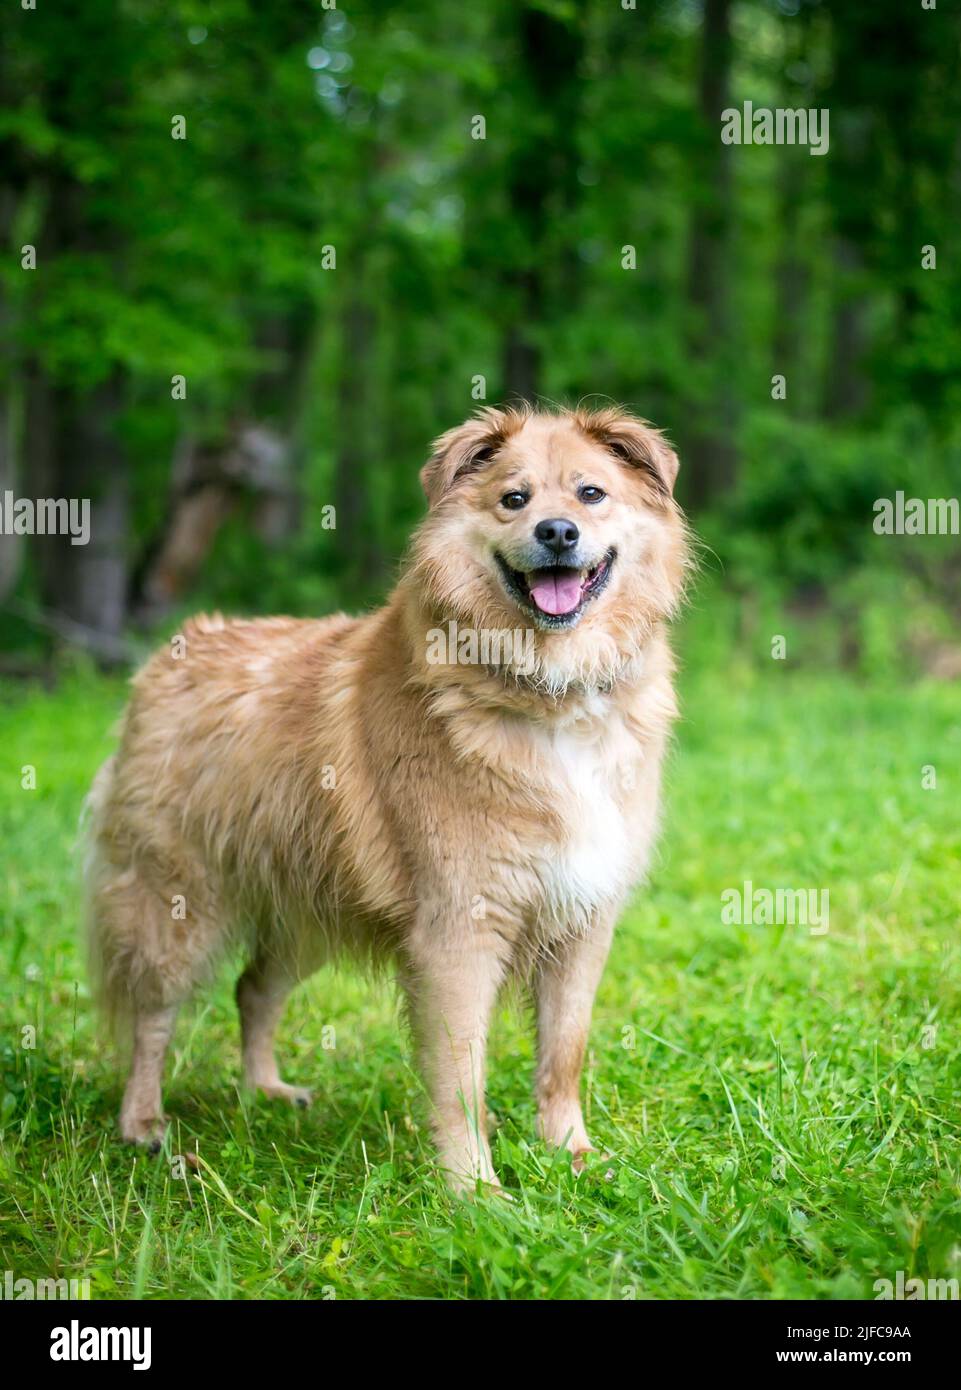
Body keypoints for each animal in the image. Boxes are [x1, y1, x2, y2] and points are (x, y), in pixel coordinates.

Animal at [80, 403, 684, 1195]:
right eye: (514, 499)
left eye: (591, 494)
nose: (557, 533)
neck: (548, 691)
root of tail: (172, 651)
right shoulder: (458, 933)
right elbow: (461, 1077)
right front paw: (475, 1190)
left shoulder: (581, 920)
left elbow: (563, 1054)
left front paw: (571, 1154)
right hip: (175, 904)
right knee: (152, 1015)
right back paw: (144, 1124)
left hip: (305, 908)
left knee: (254, 989)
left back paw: (265, 1093)